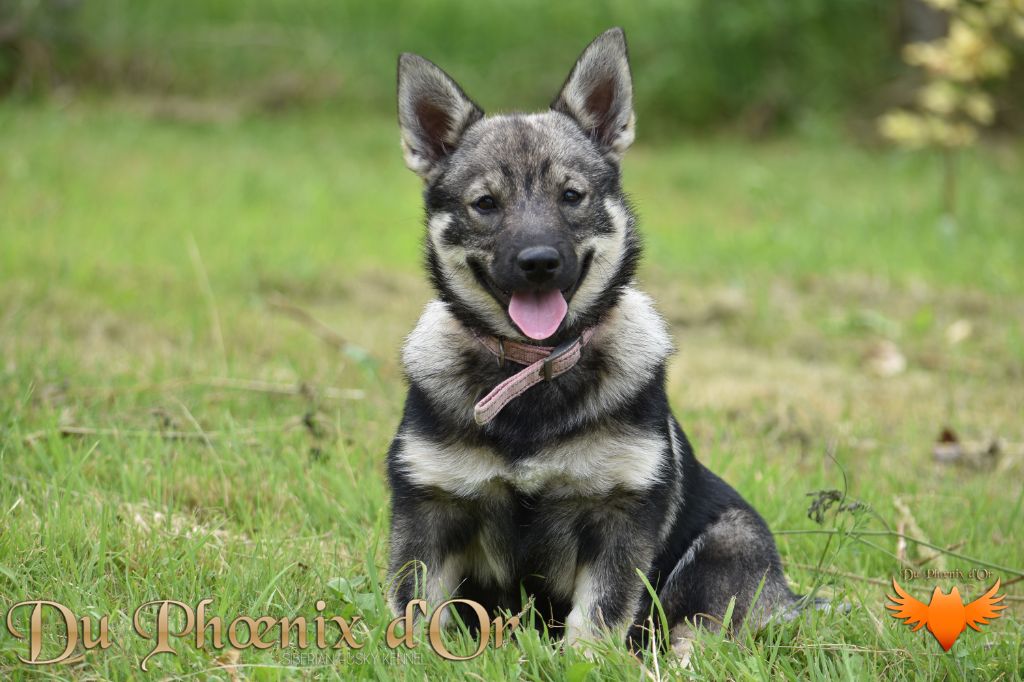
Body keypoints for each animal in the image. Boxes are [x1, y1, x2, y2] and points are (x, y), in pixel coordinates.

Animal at [385, 26, 798, 651]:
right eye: (486, 204)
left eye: (571, 195)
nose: (538, 263)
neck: (532, 369)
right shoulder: (428, 506)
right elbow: (414, 608)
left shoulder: (619, 515)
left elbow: (598, 616)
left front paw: (582, 659)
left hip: (729, 546)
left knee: (696, 632)